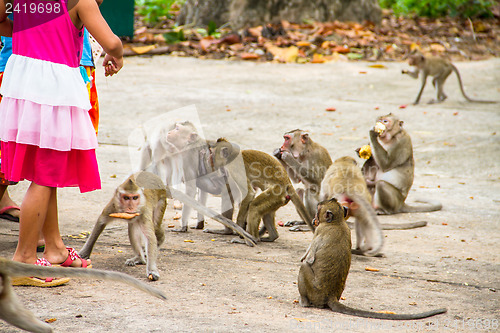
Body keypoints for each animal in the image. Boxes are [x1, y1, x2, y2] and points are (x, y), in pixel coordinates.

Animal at [298, 197, 448, 320]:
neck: (337, 222)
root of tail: (331, 295)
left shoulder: (319, 231)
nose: (314, 220)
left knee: (304, 267)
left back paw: (304, 302)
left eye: (317, 211)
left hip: (315, 292)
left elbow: (309, 260)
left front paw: (306, 258)